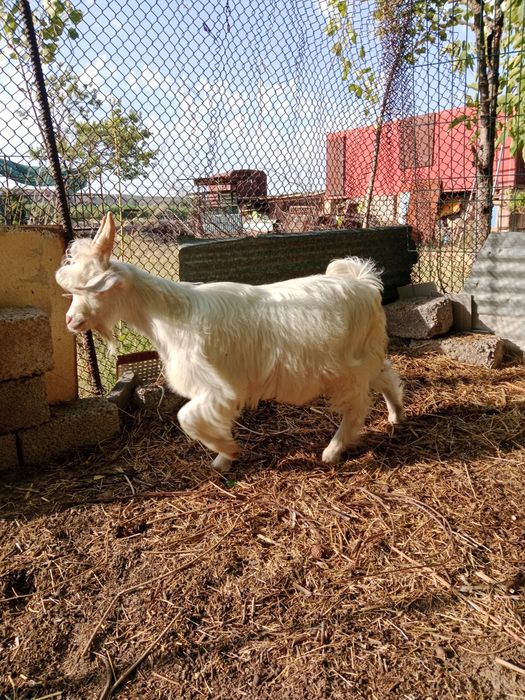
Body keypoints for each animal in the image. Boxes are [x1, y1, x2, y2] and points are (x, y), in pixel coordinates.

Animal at [56, 213, 404, 470]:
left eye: (96, 287)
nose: (70, 321)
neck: (171, 314)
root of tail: (363, 283)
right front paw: (223, 458)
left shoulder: (217, 386)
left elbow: (187, 418)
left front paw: (228, 450)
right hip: (366, 355)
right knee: (386, 376)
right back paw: (396, 415)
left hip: (347, 366)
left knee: (357, 404)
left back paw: (333, 450)